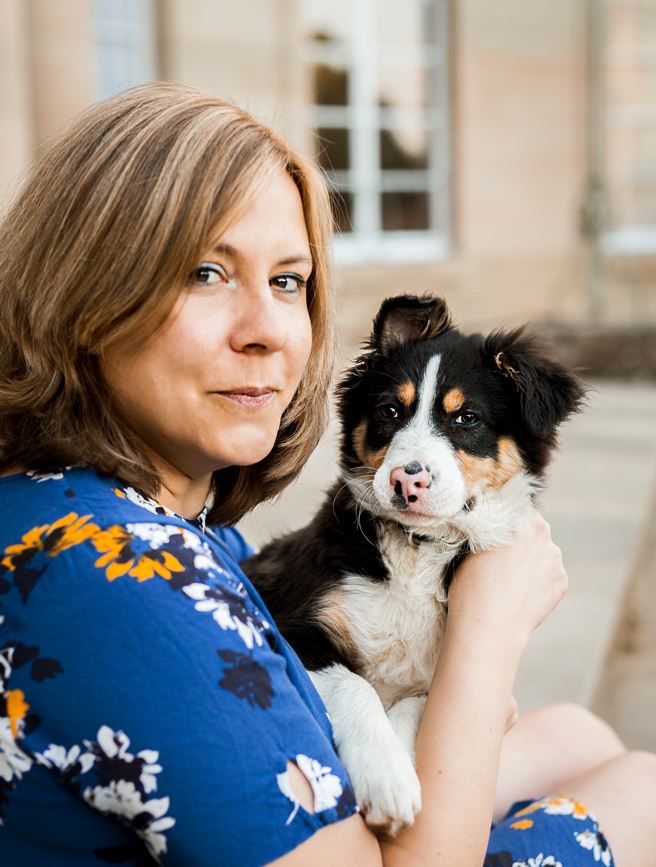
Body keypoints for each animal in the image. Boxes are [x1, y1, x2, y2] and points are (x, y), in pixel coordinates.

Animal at [243, 296, 588, 836]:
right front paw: (386, 778)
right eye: (390, 411)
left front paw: (399, 770)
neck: (419, 548)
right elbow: (357, 685)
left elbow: (414, 703)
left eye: (467, 418)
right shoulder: (293, 628)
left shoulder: (444, 674)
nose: (407, 482)